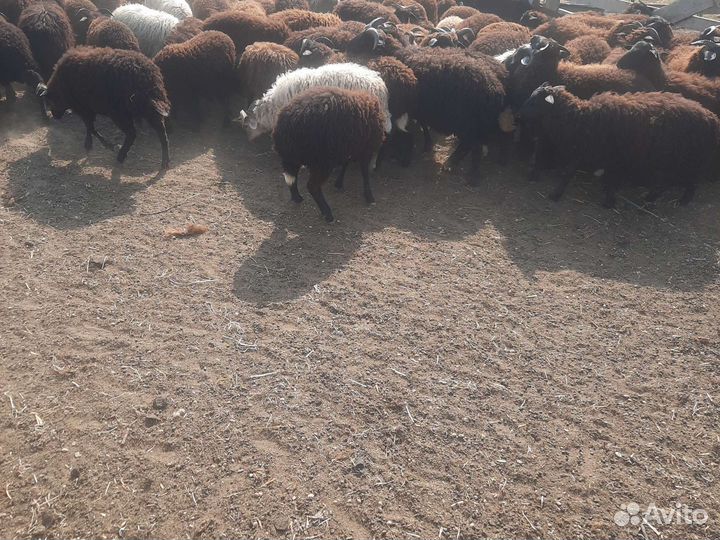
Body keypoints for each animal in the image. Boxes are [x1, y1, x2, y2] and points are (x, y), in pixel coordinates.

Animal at [37, 46, 170, 169]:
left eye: (51, 101)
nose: (55, 116)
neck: (62, 85)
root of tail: (148, 78)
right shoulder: (89, 110)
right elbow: (89, 128)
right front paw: (89, 144)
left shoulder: (84, 108)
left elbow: (91, 128)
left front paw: (107, 145)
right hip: (149, 110)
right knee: (162, 133)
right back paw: (165, 162)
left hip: (121, 114)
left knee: (132, 134)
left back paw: (121, 156)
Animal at [272, 87, 385, 222]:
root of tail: (285, 126)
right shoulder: (364, 150)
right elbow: (364, 173)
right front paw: (369, 196)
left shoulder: (347, 148)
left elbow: (345, 164)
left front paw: (339, 183)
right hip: (321, 161)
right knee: (312, 186)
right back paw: (327, 213)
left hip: (294, 157)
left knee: (291, 178)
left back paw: (297, 198)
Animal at [517, 83, 720, 206]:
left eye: (534, 102)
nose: (518, 115)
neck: (581, 119)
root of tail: (712, 118)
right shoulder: (584, 150)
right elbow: (570, 173)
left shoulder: (609, 156)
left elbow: (585, 175)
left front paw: (608, 201)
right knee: (674, 182)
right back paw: (654, 199)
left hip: (684, 158)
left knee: (685, 181)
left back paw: (676, 200)